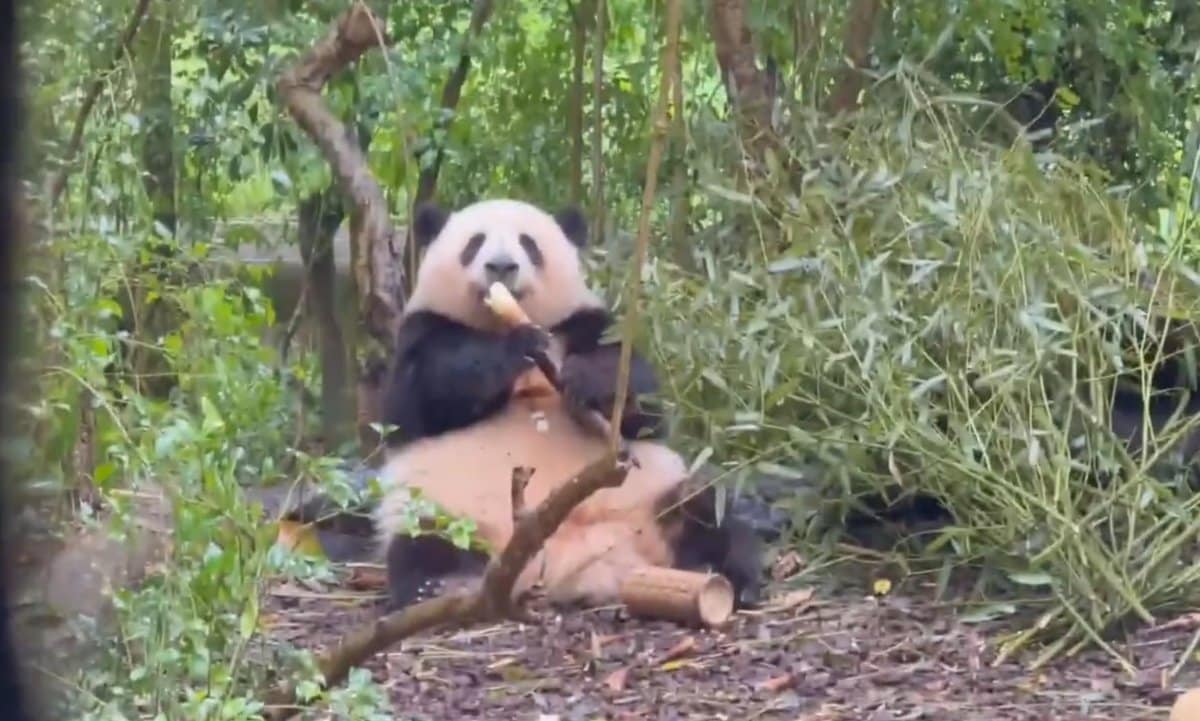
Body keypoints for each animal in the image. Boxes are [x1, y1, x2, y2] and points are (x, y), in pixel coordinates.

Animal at [372, 198, 764, 613]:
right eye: (474, 243)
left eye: (528, 244)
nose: (501, 266)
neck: (501, 320)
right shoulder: (423, 328)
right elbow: (418, 397)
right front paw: (516, 348)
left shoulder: (584, 323)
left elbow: (644, 403)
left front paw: (586, 379)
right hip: (447, 513)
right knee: (422, 545)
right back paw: (440, 586)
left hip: (653, 502)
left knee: (709, 512)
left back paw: (732, 578)